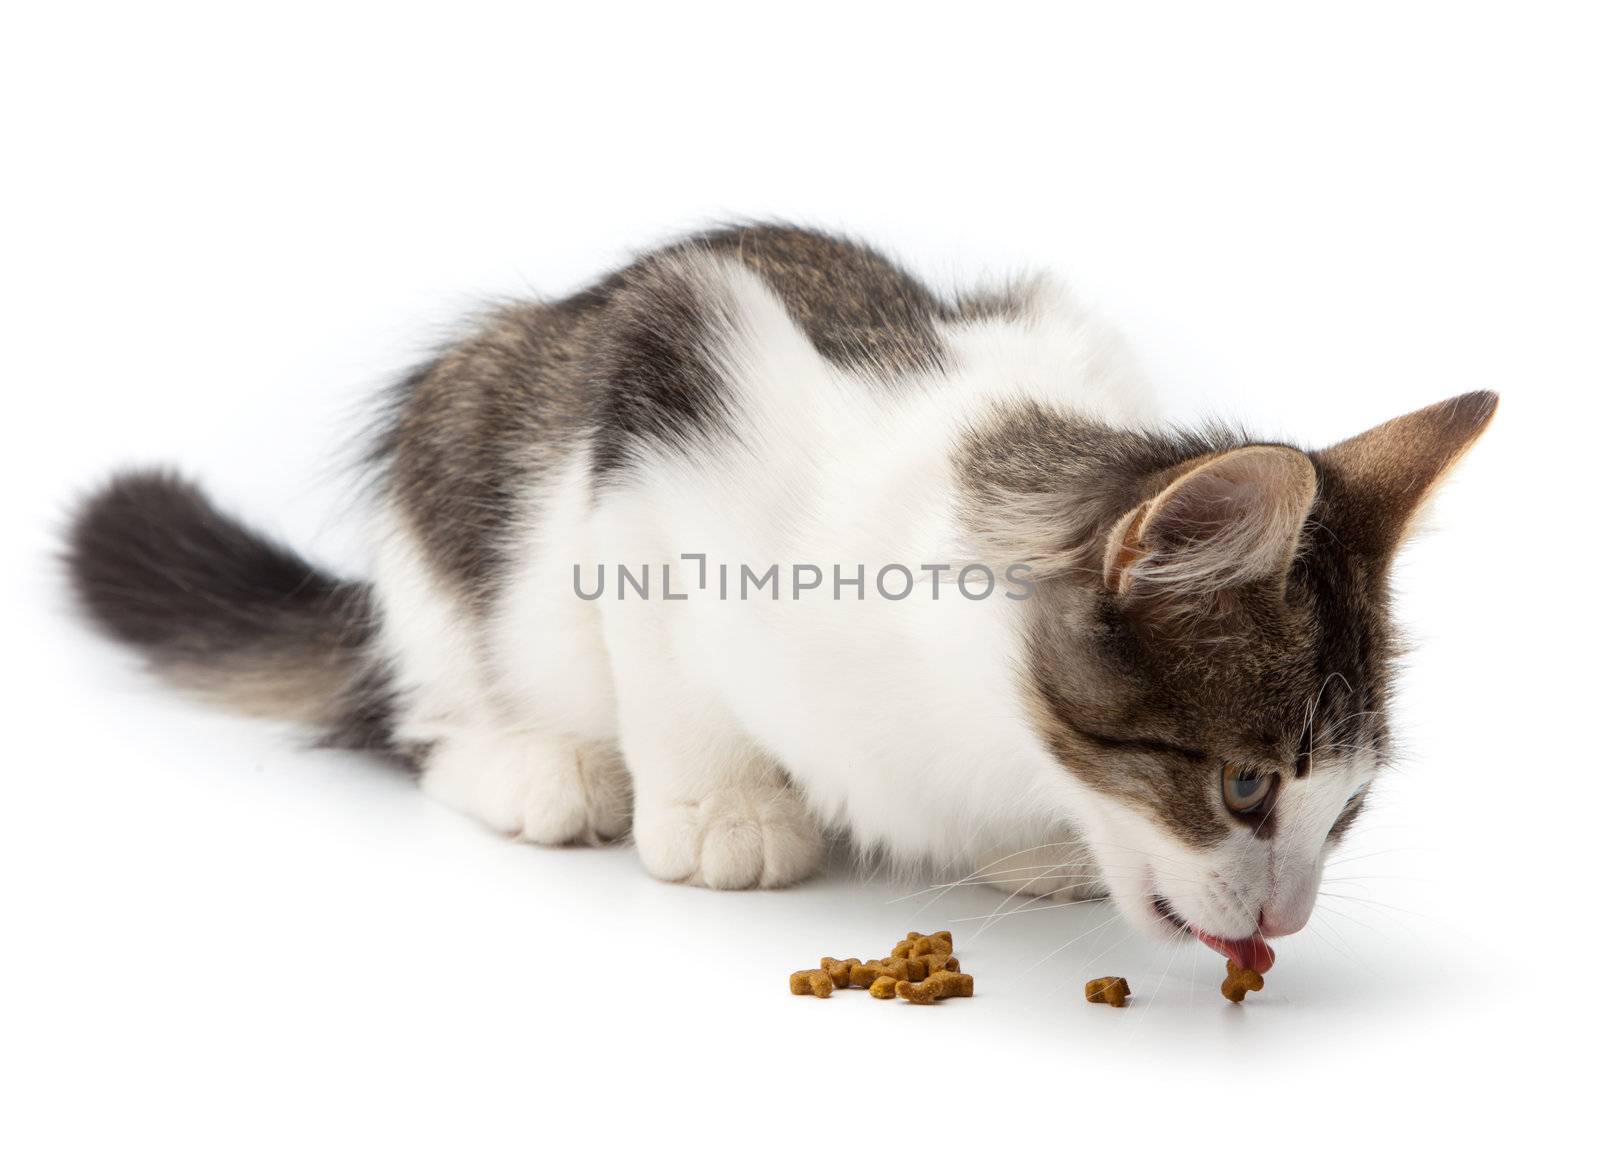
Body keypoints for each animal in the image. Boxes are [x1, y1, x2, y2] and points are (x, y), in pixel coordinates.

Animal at [68, 220, 1497, 966]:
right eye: (1245, 787)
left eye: (1346, 807)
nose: (1288, 921)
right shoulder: (667, 398)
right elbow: (665, 655)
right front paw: (720, 812)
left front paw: (1041, 851)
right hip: (457, 459)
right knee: (413, 710)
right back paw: (535, 766)